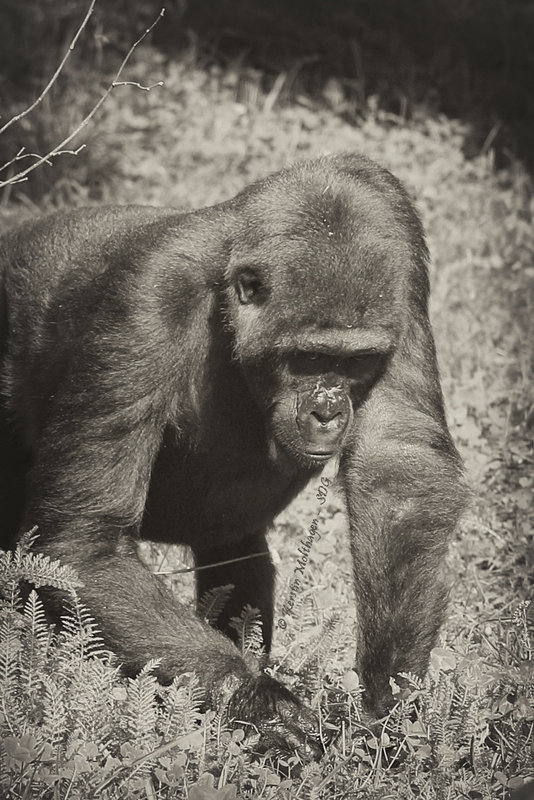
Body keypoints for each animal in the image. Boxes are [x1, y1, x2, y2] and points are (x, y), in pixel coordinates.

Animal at [0, 153, 468, 752]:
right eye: (309, 357)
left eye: (357, 361)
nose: (328, 411)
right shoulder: (149, 293)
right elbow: (83, 540)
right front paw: (259, 702)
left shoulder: (399, 247)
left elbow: (399, 464)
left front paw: (389, 696)